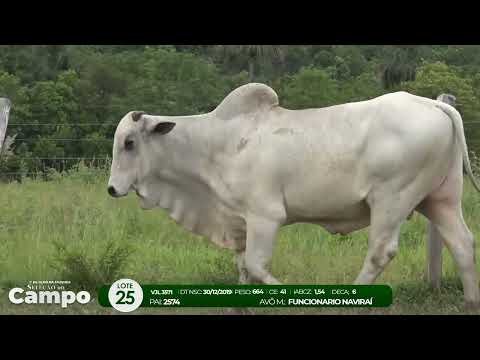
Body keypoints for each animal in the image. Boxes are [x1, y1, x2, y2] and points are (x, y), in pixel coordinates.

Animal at [108, 83, 480, 310]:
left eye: (129, 142)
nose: (112, 188)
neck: (216, 144)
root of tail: (431, 103)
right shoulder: (239, 221)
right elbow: (243, 270)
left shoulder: (265, 216)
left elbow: (257, 266)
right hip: (440, 199)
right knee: (462, 244)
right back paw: (471, 302)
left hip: (391, 200)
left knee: (380, 252)